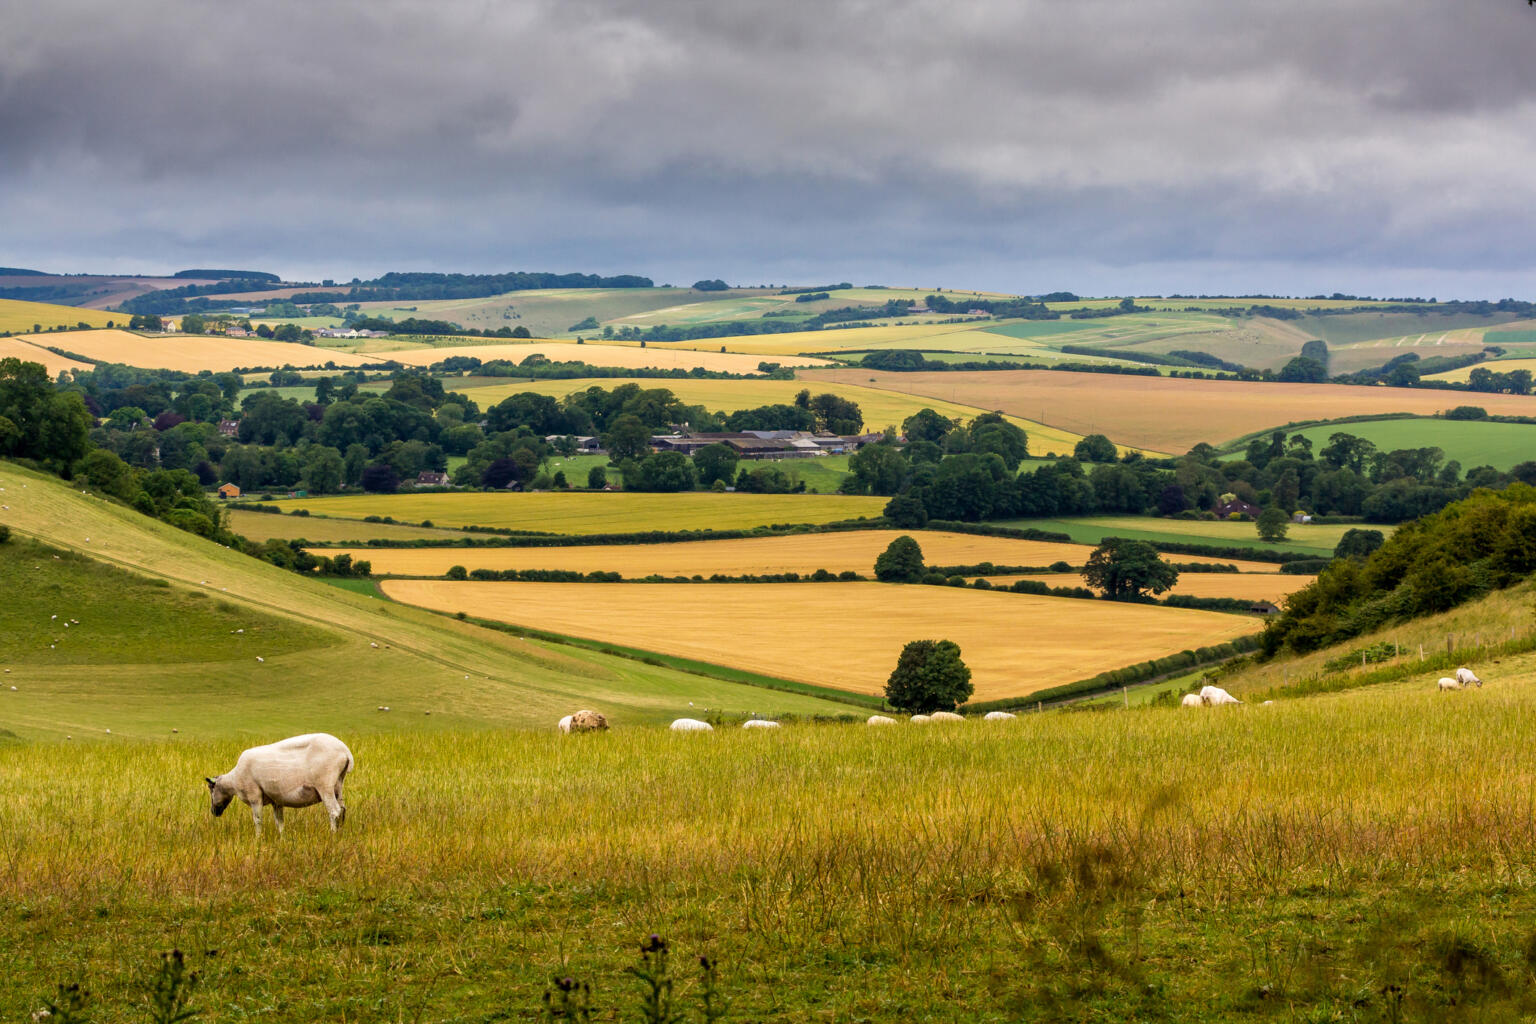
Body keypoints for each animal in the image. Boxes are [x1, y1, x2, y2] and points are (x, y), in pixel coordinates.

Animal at [207, 727, 353, 835]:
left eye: (211, 789)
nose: (213, 812)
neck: (233, 780)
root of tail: (345, 752)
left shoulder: (254, 795)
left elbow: (258, 820)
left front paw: (258, 838)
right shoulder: (276, 800)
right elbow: (280, 822)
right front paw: (282, 838)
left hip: (325, 785)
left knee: (334, 811)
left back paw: (332, 834)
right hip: (338, 784)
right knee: (342, 809)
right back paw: (340, 834)